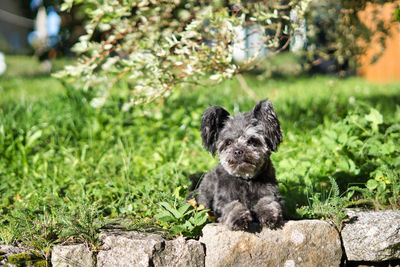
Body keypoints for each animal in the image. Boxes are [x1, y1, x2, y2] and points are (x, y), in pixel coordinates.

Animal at [191, 99, 284, 231]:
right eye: (228, 142)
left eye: (252, 141)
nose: (238, 151)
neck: (245, 179)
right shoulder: (222, 201)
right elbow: (232, 206)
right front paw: (239, 218)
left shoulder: (272, 194)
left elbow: (268, 201)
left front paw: (269, 214)